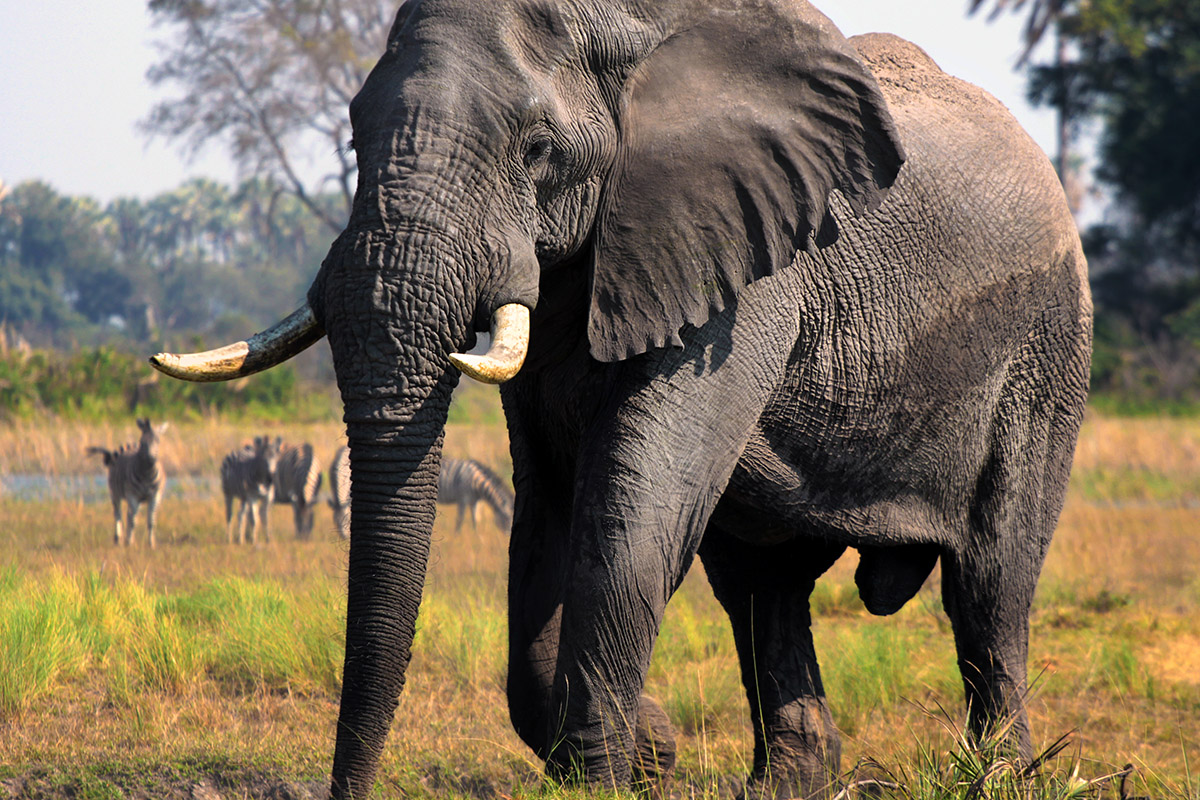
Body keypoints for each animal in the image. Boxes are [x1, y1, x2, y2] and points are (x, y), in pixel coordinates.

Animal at [85, 417, 166, 546]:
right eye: (142, 442)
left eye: (157, 441)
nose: (150, 459)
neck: (147, 474)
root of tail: (129, 446)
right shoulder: (132, 495)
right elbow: (132, 521)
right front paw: (129, 543)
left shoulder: (155, 496)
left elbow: (151, 521)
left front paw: (151, 544)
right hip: (115, 493)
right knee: (118, 514)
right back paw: (118, 538)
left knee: (129, 515)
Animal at [147, 0, 1089, 796]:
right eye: (351, 134)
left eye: (536, 149)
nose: (347, 789)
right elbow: (549, 511)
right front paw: (647, 751)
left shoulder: (743, 275)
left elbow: (631, 509)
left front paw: (618, 764)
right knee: (762, 586)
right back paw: (786, 784)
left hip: (1047, 350)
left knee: (991, 584)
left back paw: (998, 777)